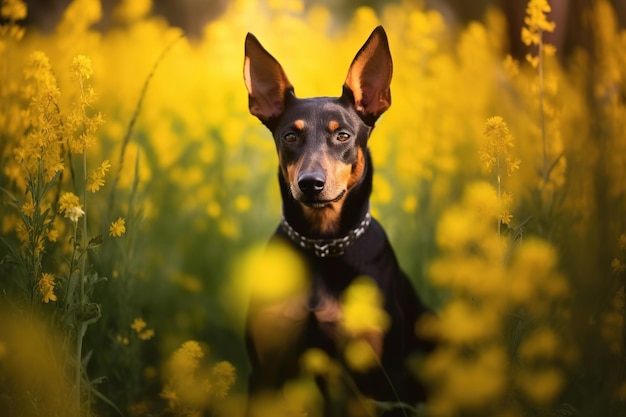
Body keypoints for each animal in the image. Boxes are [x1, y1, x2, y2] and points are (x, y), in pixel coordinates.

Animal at [244, 26, 434, 416]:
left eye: (342, 135)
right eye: (290, 135)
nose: (310, 183)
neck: (322, 244)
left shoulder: (383, 377)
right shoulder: (265, 370)